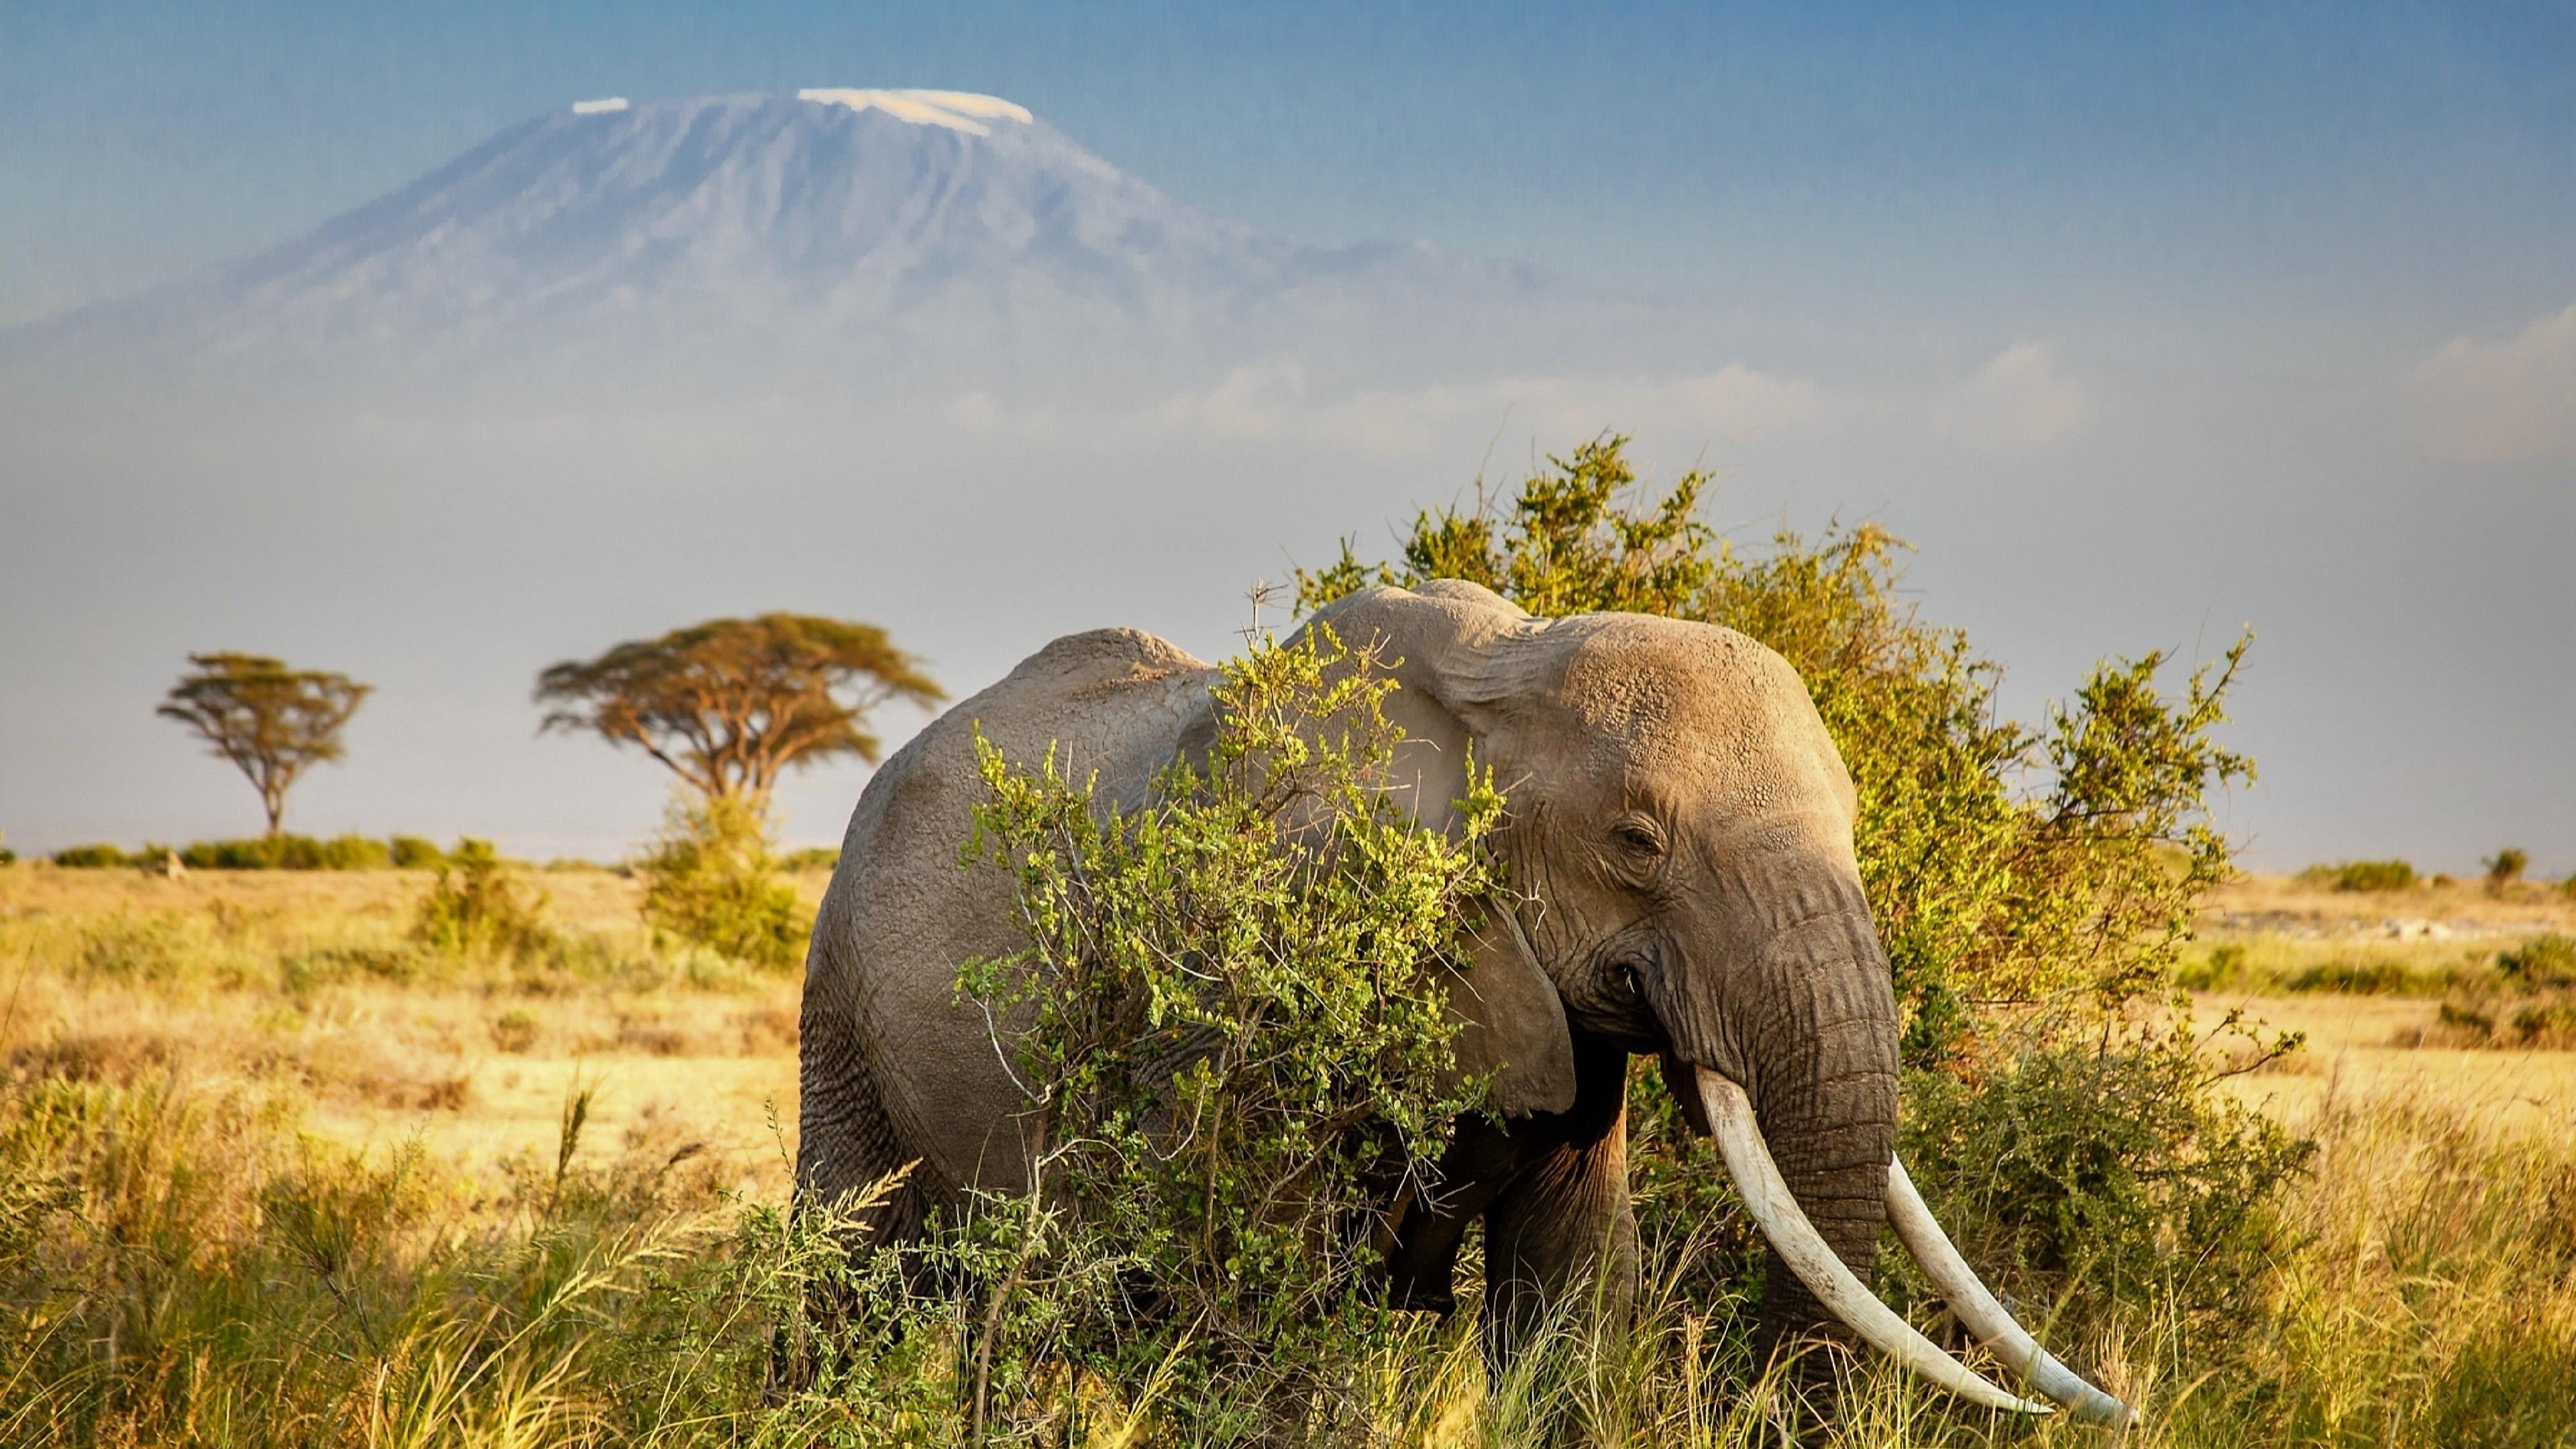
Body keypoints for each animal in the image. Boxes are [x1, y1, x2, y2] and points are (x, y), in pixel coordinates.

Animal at [795, 579, 2131, 1426]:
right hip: (839, 995)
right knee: (845, 1267)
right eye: (1637, 841)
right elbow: (1256, 1290)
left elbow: (1574, 1290)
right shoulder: (1249, 962)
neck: (1504, 674)